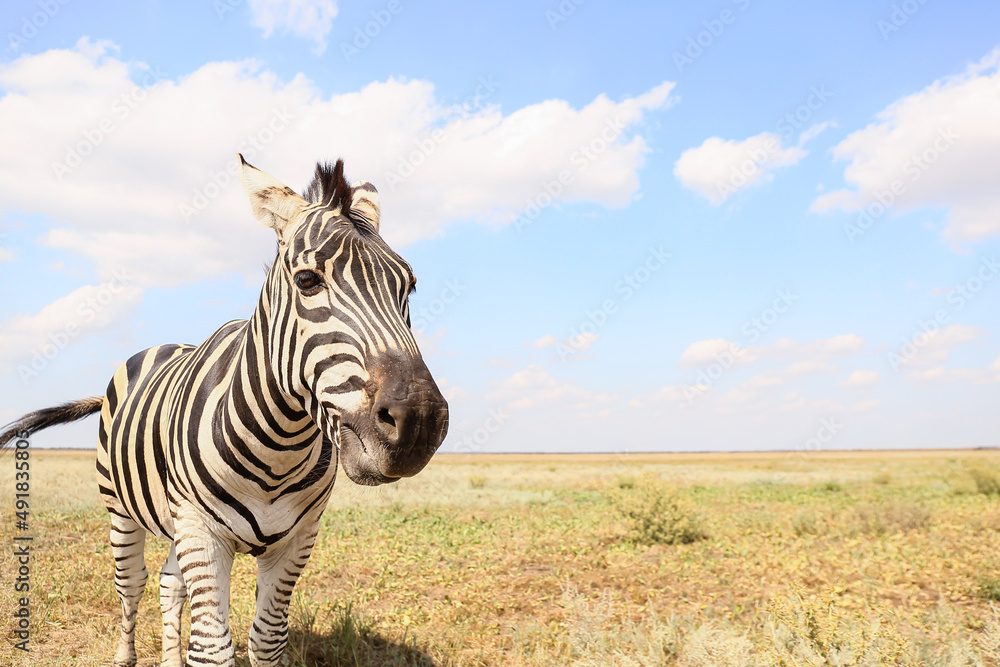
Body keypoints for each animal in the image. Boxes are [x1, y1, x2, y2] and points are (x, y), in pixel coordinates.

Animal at [0, 154, 450, 664]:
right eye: (307, 281)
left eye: (408, 289)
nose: (418, 423)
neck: (279, 446)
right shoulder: (202, 531)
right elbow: (212, 649)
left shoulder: (297, 539)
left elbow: (266, 640)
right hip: (120, 509)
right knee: (131, 584)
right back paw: (125, 655)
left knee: (168, 583)